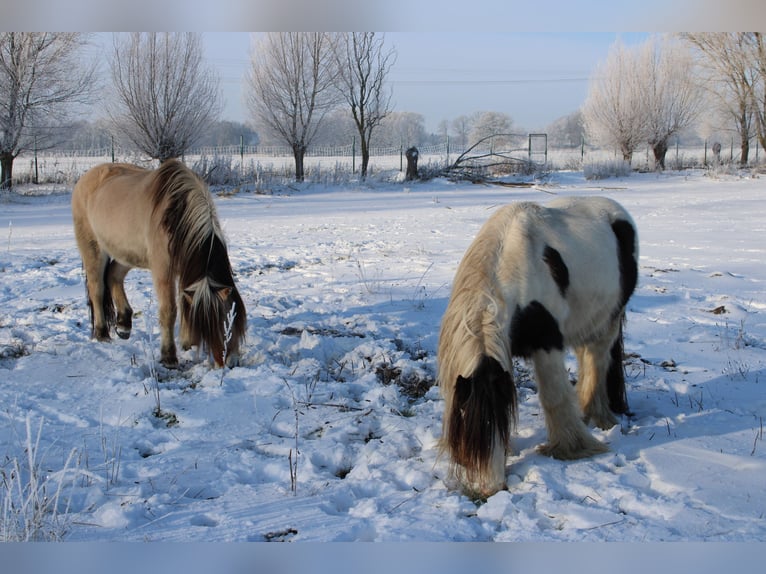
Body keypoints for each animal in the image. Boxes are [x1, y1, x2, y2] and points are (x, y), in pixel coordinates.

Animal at [71, 159, 246, 368]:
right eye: (218, 323)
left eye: (233, 319)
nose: (230, 362)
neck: (176, 215)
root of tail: (85, 178)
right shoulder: (163, 271)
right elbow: (169, 310)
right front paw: (169, 356)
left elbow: (184, 303)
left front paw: (186, 343)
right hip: (93, 249)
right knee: (96, 288)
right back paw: (102, 333)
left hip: (127, 253)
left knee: (113, 276)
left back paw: (123, 324)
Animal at [437, 196, 638, 497]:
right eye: (466, 425)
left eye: (498, 421)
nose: (489, 490)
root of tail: (617, 209)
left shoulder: (547, 342)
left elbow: (554, 397)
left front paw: (570, 447)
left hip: (608, 322)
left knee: (597, 363)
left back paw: (597, 416)